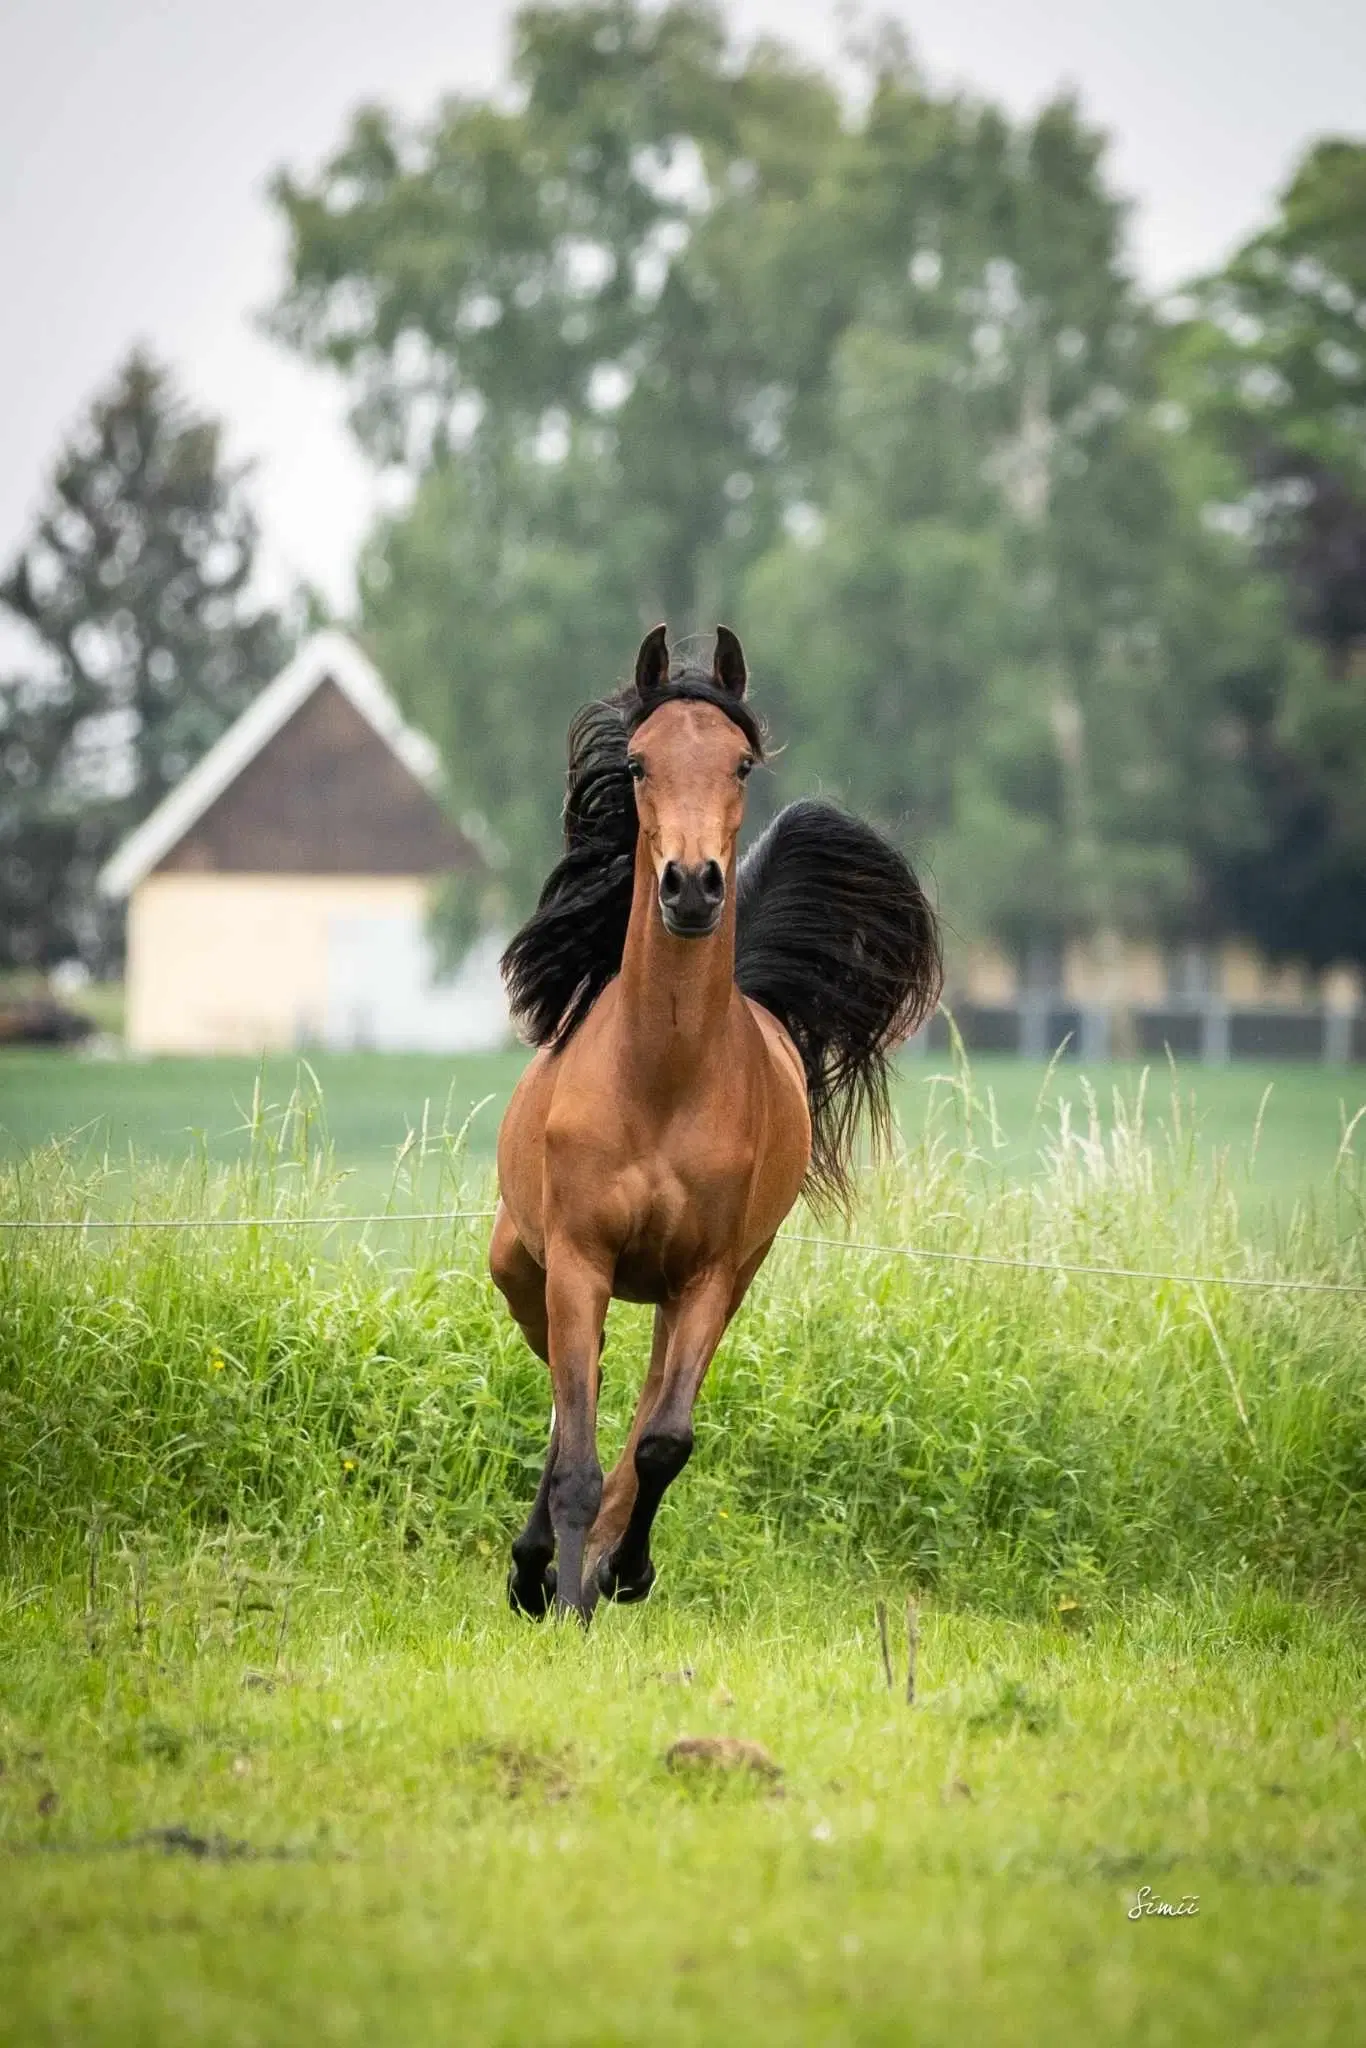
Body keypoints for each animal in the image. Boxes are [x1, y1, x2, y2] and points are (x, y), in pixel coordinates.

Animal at [489, 618, 942, 1613]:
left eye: (739, 764)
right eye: (639, 765)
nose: (691, 887)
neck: (663, 1080)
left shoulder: (706, 1276)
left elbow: (663, 1441)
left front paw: (618, 1573)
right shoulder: (578, 1260)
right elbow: (575, 1453)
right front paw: (561, 1594)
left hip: (719, 1284)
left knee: (640, 1405)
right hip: (520, 1266)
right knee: (570, 1394)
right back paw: (537, 1567)